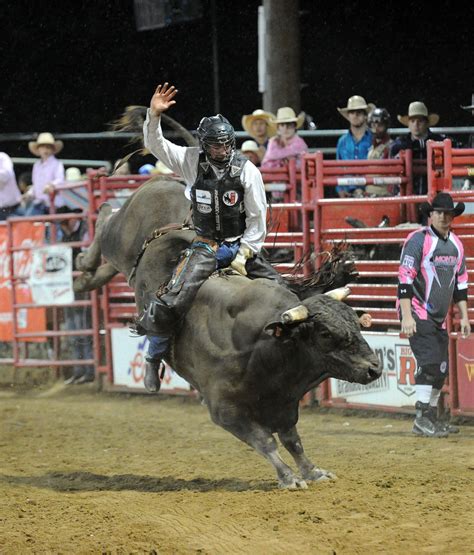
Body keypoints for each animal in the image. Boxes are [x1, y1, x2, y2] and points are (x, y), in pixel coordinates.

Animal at [75, 178, 386, 490]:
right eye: (325, 334)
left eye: (355, 324)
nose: (374, 367)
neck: (266, 346)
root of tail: (167, 183)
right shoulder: (224, 410)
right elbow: (265, 442)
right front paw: (289, 478)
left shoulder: (284, 404)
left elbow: (292, 440)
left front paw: (313, 472)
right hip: (119, 238)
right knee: (104, 223)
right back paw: (85, 262)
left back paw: (86, 278)